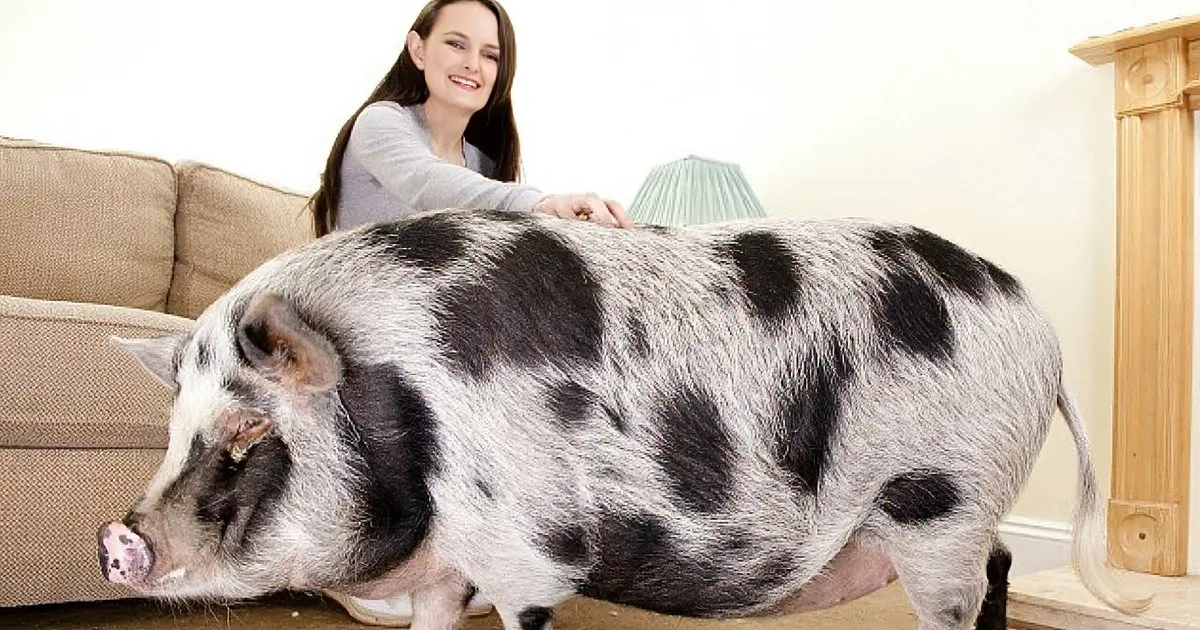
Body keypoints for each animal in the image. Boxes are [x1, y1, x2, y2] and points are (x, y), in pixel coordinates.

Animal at [98, 208, 1152, 630]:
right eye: (173, 428)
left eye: (248, 429)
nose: (116, 539)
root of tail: (1042, 326)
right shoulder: (447, 566)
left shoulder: (530, 546)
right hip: (957, 512)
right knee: (1006, 563)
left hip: (942, 500)